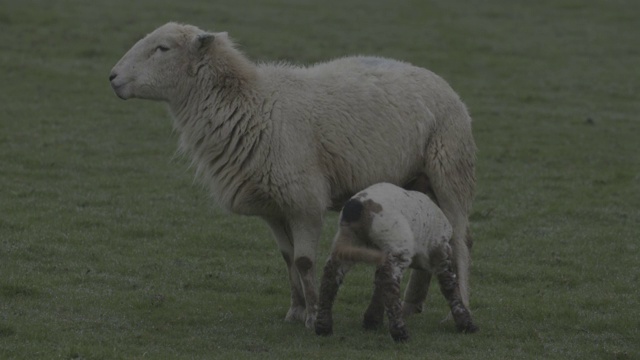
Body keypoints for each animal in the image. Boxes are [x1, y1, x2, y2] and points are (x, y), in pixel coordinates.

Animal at [312, 181, 478, 342]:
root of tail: (356, 207)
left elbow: (378, 283)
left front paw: (372, 320)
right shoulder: (441, 252)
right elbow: (450, 286)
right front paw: (466, 324)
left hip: (350, 242)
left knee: (331, 275)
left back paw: (323, 327)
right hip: (398, 245)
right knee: (390, 283)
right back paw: (400, 333)